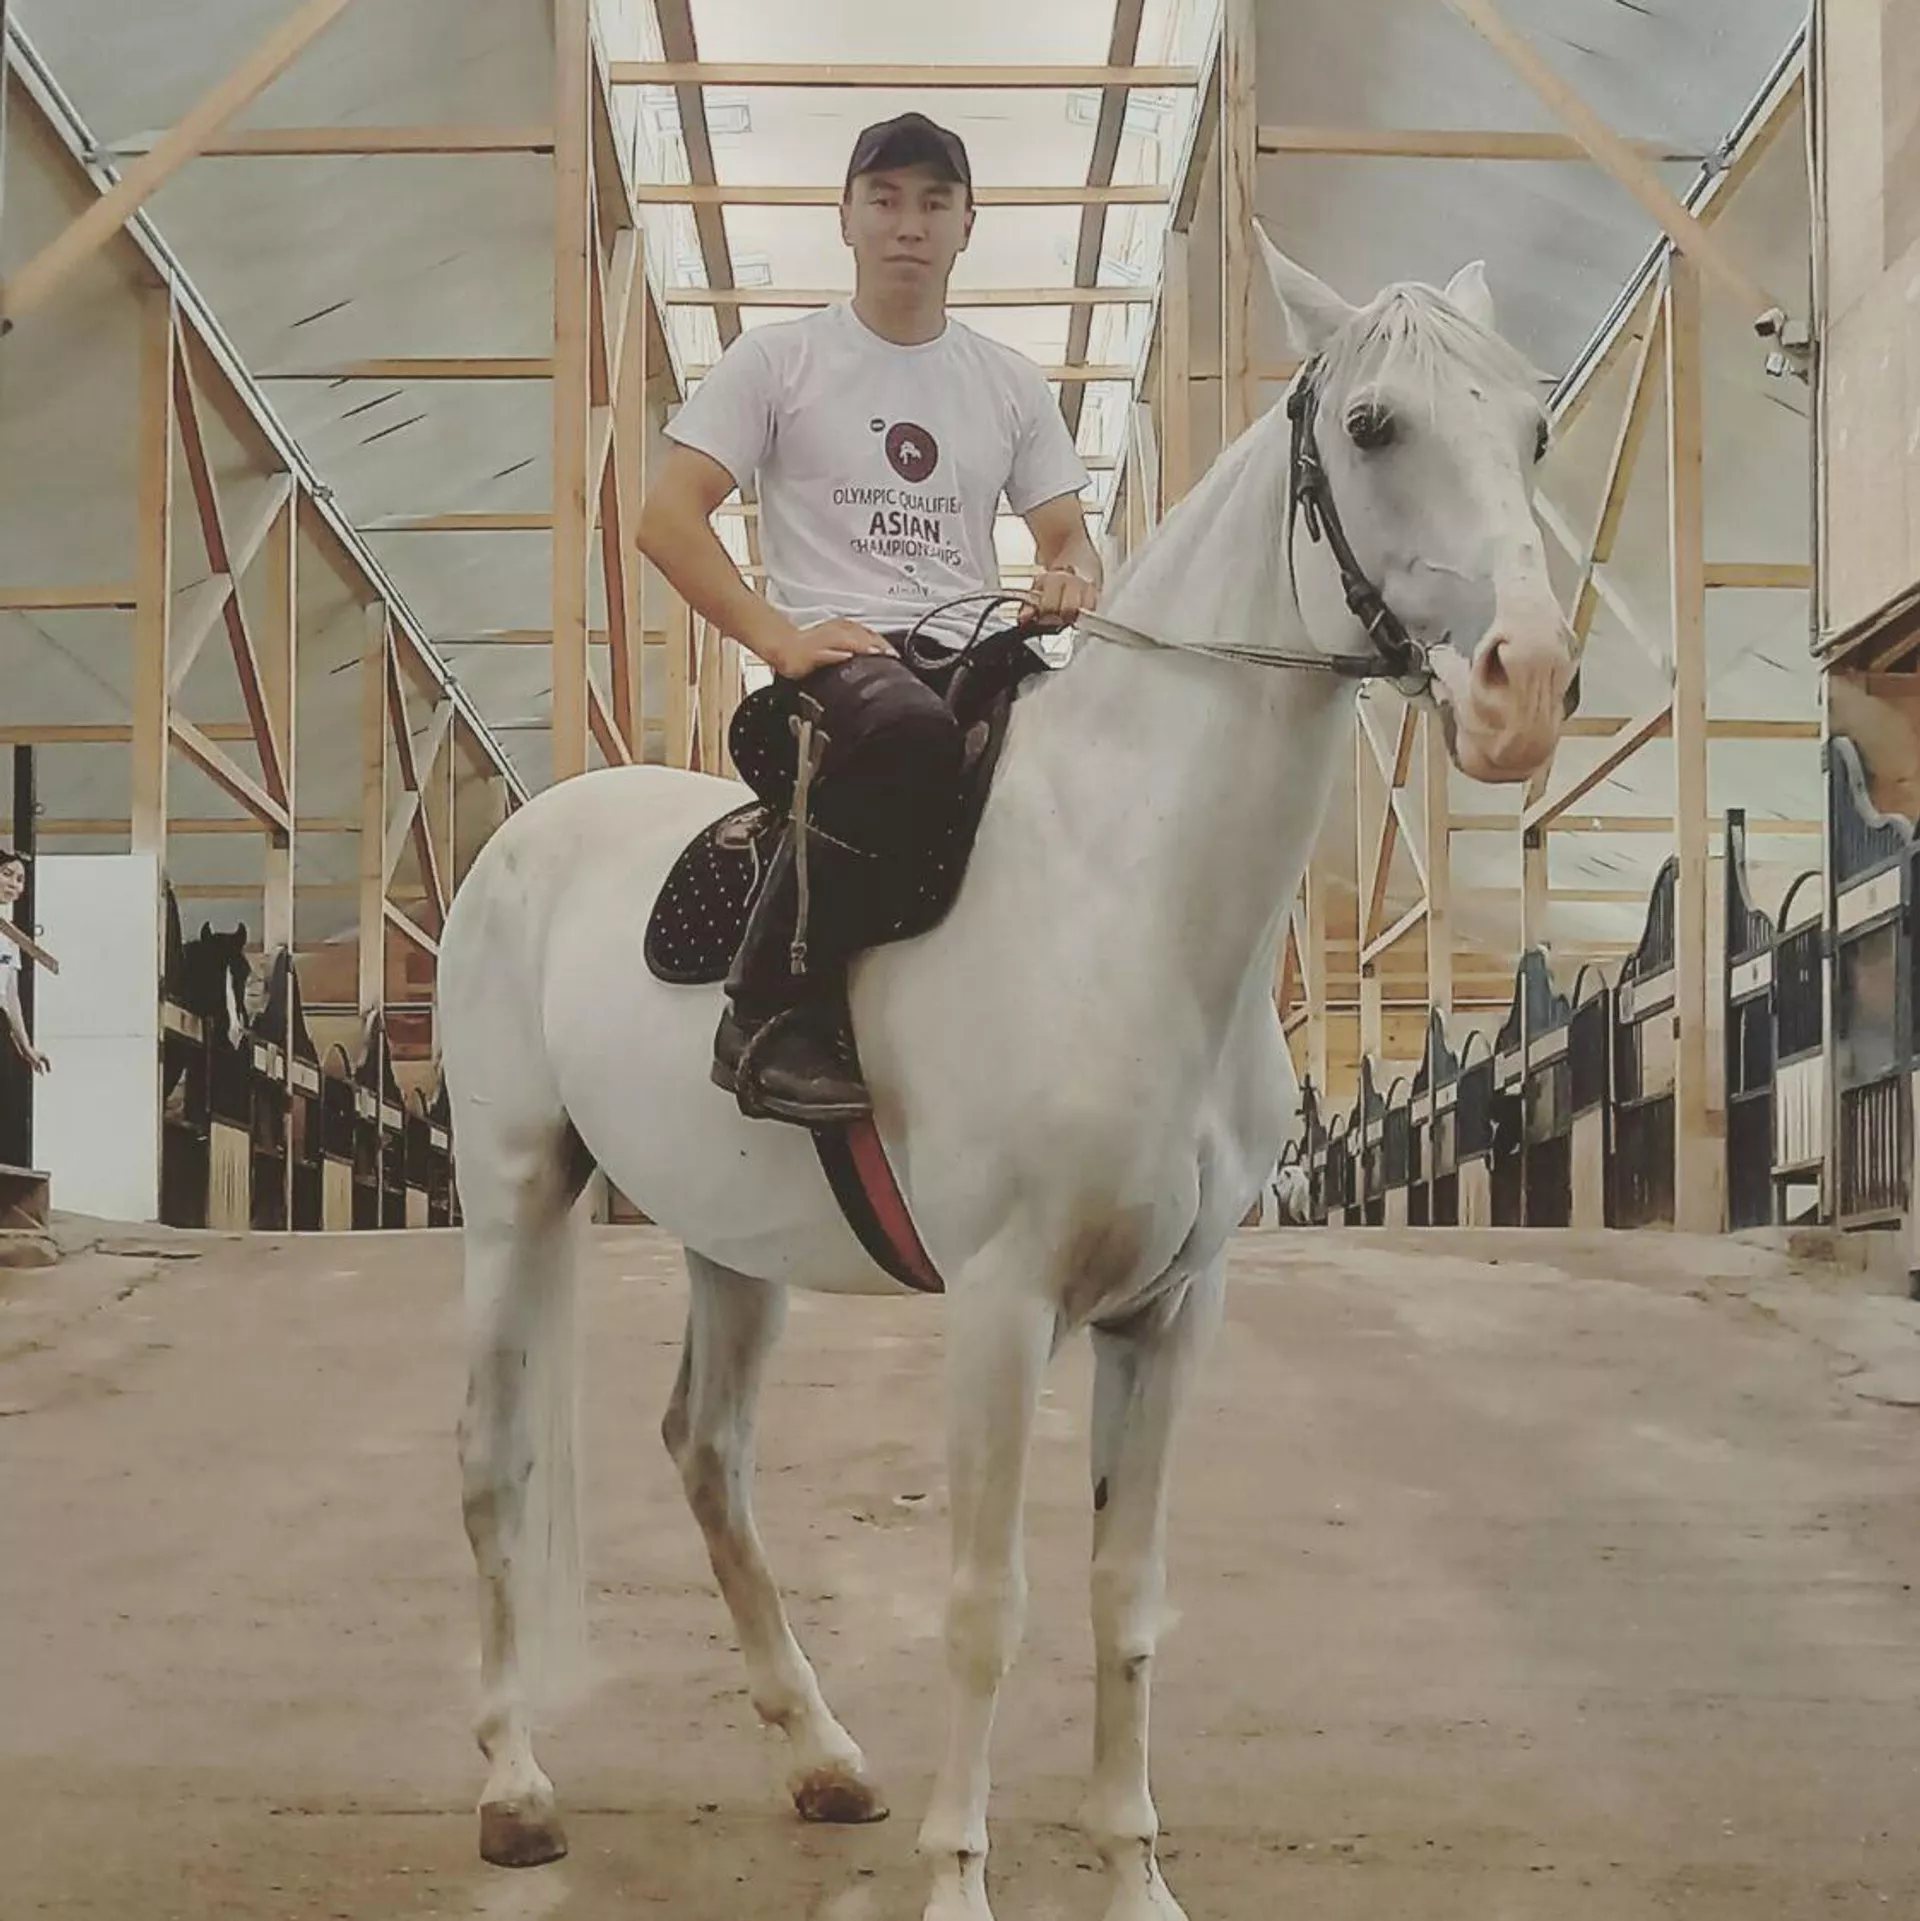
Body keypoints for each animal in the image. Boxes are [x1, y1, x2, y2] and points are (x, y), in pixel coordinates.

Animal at [435, 231, 1580, 1921]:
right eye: (1373, 426)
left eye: (1535, 432)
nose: (1526, 687)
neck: (1128, 891)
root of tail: (528, 837)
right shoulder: (1001, 1299)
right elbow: (988, 1601)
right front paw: (960, 1875)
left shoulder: (1170, 1313)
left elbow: (1125, 1595)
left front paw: (1134, 1875)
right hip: (514, 1194)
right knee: (493, 1456)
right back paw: (514, 1783)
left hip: (729, 1249)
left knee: (709, 1460)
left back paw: (820, 1755)